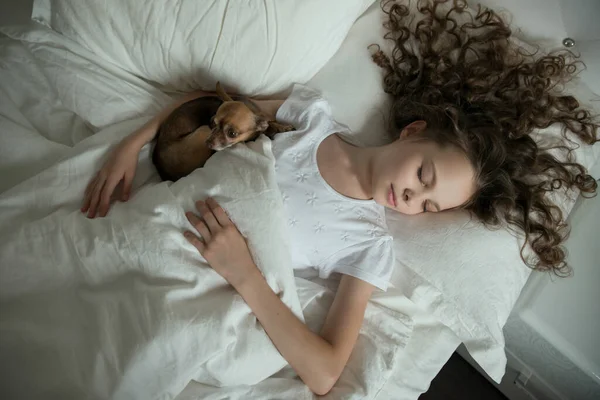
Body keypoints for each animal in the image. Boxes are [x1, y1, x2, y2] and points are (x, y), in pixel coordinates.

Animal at [150, 82, 290, 180]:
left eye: (232, 133)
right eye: (213, 122)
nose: (208, 143)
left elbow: (270, 123)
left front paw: (281, 127)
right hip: (203, 130)